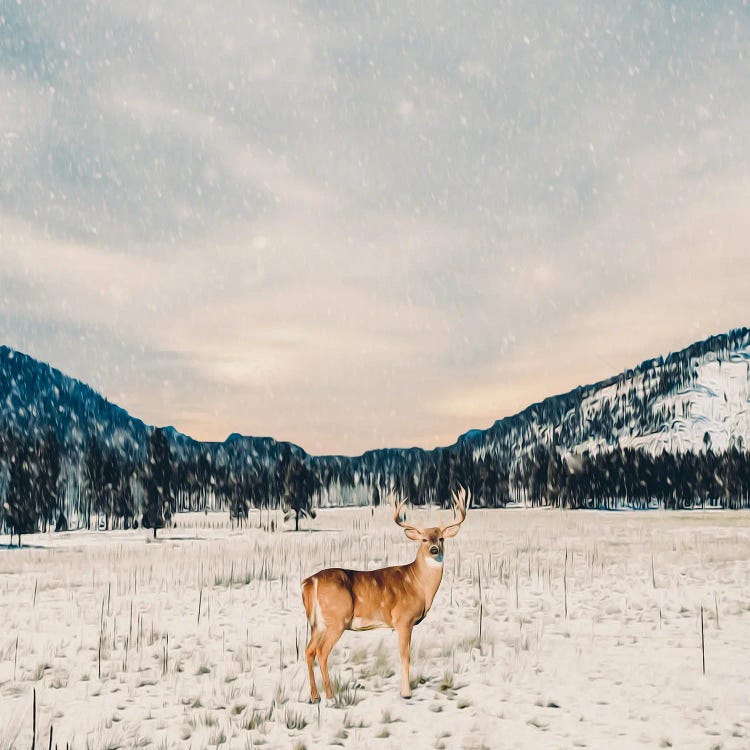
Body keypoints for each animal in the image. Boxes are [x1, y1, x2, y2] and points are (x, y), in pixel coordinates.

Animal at [302, 488, 470, 704]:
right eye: (424, 539)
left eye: (441, 538)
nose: (434, 550)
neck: (417, 584)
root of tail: (309, 582)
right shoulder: (403, 619)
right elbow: (405, 656)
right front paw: (406, 693)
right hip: (337, 619)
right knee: (322, 652)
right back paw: (331, 696)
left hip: (317, 623)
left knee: (309, 650)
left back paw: (315, 697)